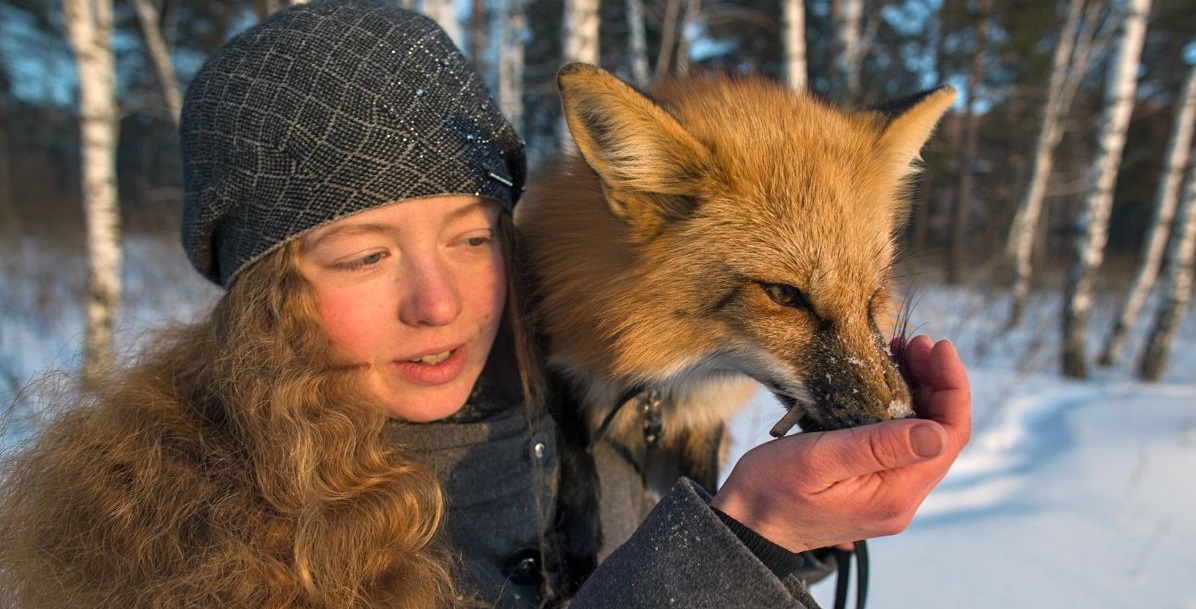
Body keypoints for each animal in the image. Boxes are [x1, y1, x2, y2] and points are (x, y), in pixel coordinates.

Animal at [514, 62, 952, 588]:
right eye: (784, 295)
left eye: (874, 294)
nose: (899, 417)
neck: (667, 375)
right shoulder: (555, 353)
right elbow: (573, 448)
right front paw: (575, 554)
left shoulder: (700, 425)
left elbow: (701, 484)